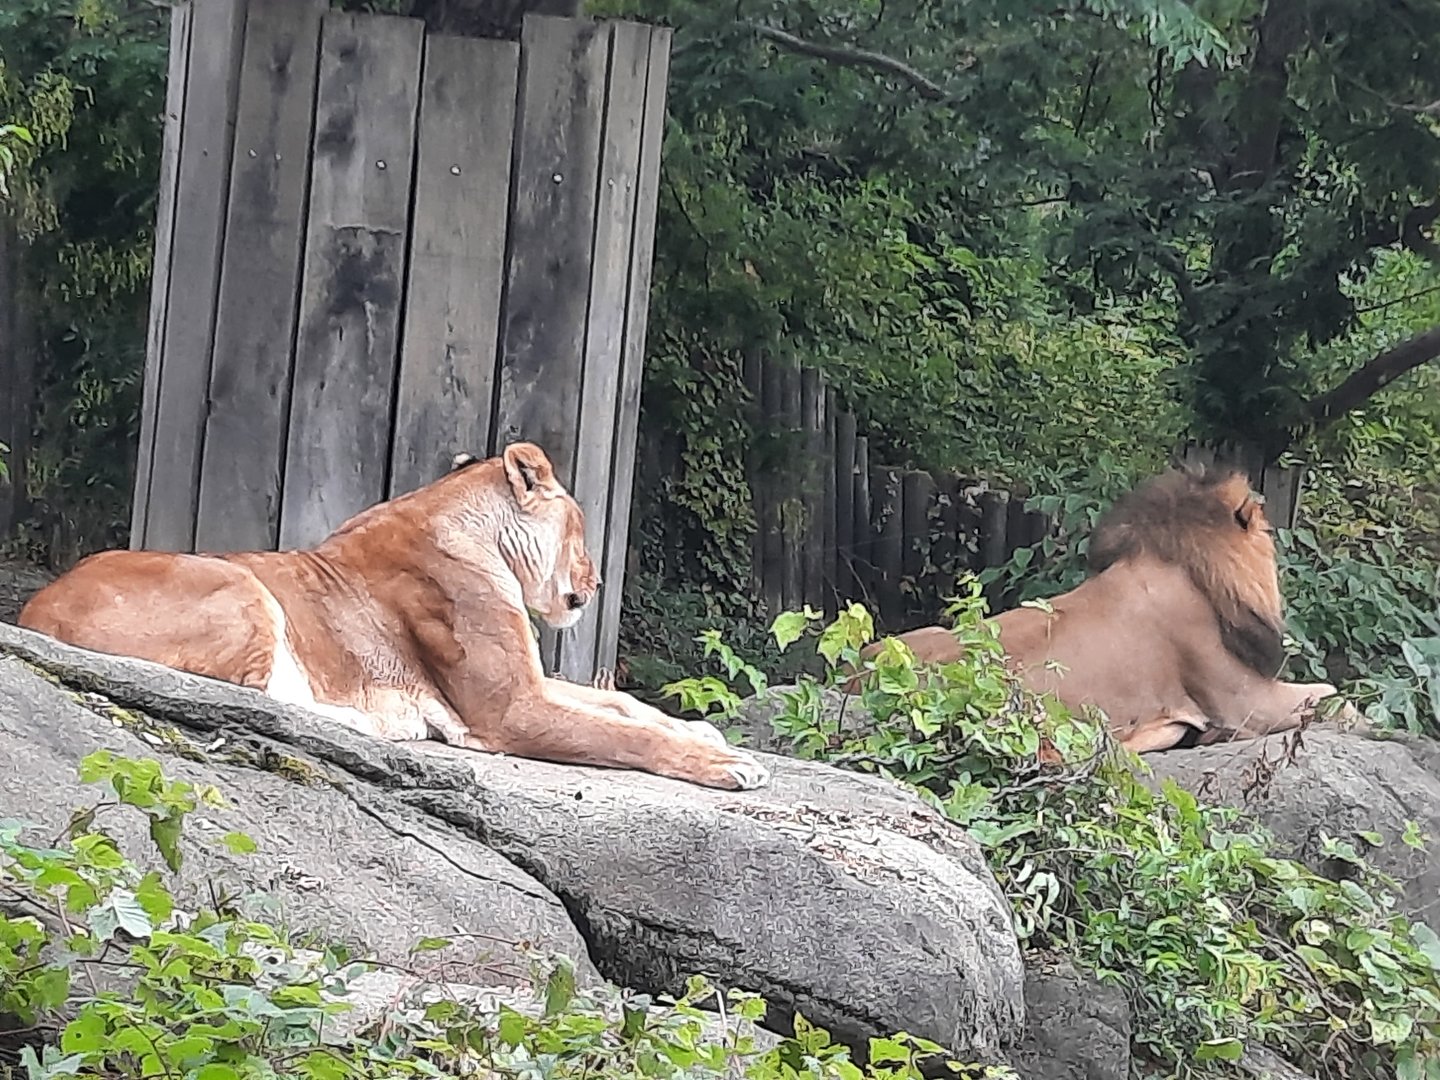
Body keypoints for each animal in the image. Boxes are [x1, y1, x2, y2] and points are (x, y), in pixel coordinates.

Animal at [18, 442, 770, 790]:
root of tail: (33, 610)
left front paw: (705, 732)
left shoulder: (528, 687)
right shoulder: (509, 713)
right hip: (239, 581)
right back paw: (369, 724)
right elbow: (622, 734)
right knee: (245, 696)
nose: (596, 580)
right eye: (583, 529)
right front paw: (729, 764)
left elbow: (623, 707)